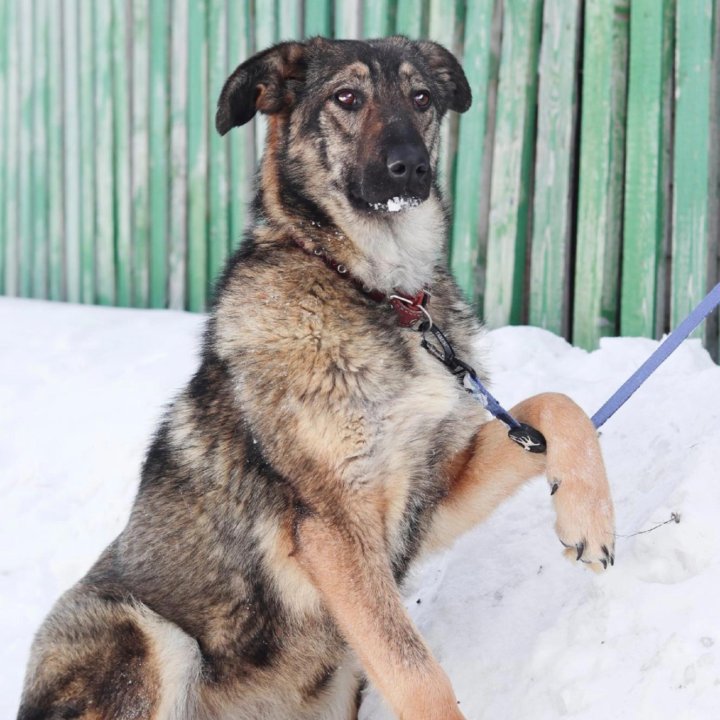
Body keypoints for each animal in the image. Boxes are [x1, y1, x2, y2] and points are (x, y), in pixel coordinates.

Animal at [15, 36, 612, 716]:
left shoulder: (432, 499)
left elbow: (554, 403)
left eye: (422, 97)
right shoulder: (335, 528)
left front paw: (588, 515)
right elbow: (415, 671)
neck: (380, 293)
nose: (411, 168)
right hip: (146, 631)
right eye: (346, 98)